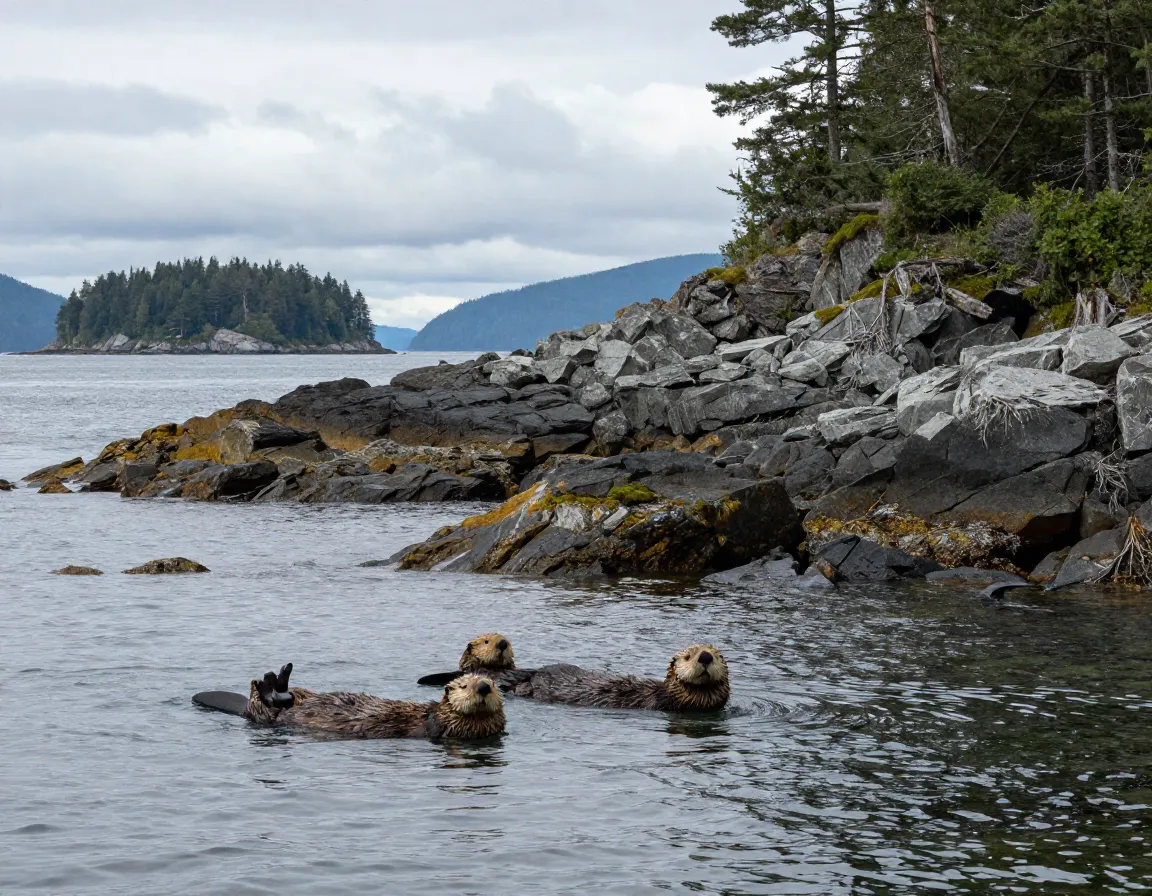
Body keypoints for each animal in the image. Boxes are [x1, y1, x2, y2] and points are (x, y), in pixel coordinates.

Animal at [245, 663, 505, 740]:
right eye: (464, 686)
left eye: (492, 684)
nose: (483, 687)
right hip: (301, 697)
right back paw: (277, 679)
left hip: (279, 713)